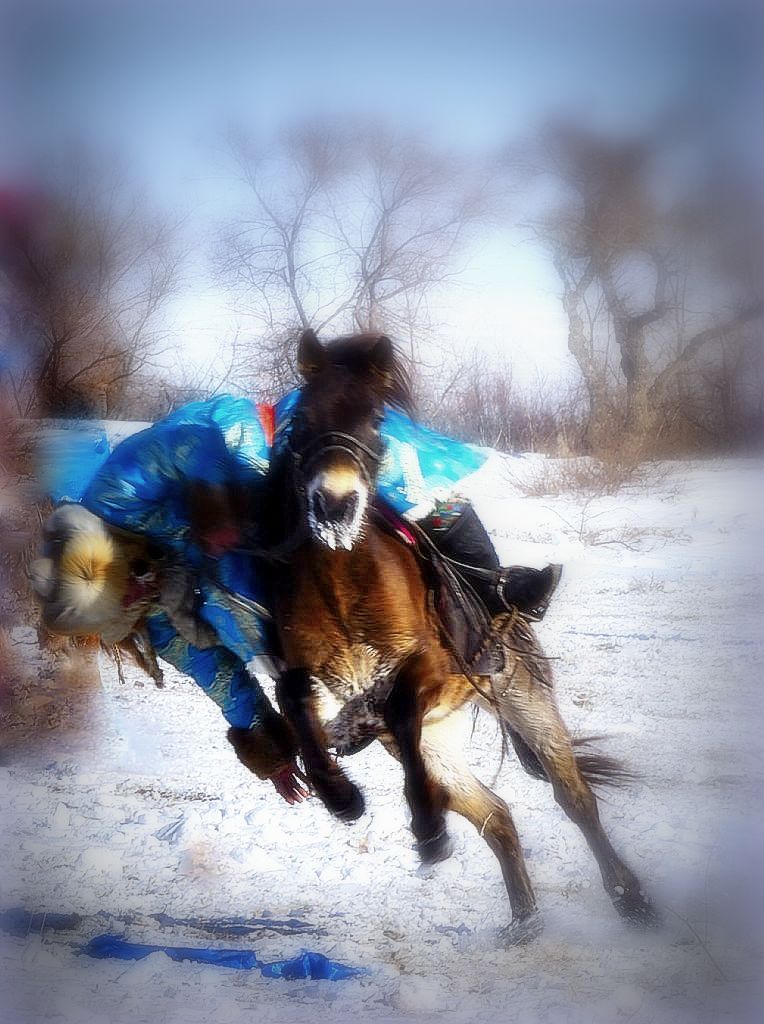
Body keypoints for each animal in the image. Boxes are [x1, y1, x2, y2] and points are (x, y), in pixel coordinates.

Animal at [264, 329, 655, 942]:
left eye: (376, 420)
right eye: (302, 417)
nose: (334, 505)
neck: (344, 583)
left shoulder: (433, 669)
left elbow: (400, 700)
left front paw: (426, 826)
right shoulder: (318, 680)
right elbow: (294, 702)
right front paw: (340, 794)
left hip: (526, 705)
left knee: (575, 799)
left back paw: (629, 899)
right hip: (438, 745)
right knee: (496, 816)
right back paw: (523, 920)